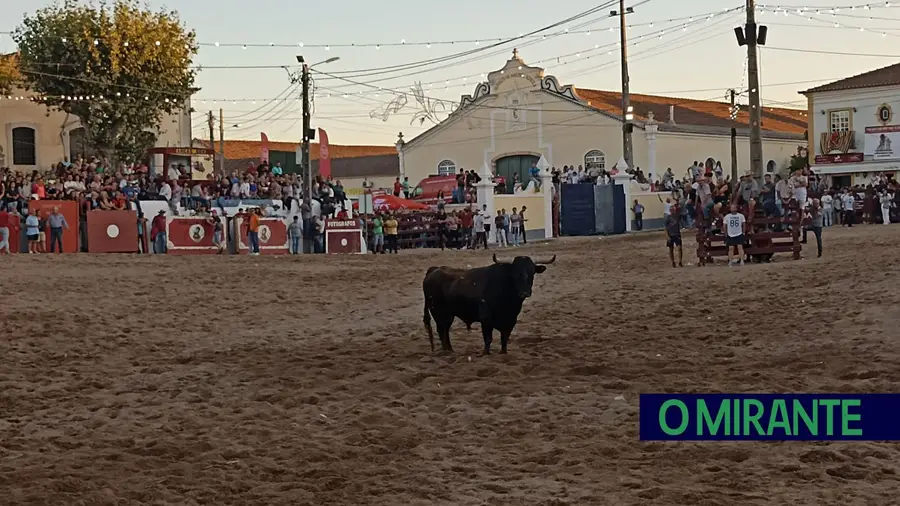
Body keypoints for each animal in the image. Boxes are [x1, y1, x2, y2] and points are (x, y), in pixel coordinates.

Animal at [422, 253, 556, 356]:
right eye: (515, 273)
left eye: (532, 272)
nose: (525, 292)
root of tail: (434, 270)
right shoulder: (486, 319)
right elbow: (488, 339)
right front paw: (485, 354)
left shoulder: (510, 320)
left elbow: (504, 339)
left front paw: (503, 353)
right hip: (438, 313)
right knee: (441, 331)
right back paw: (446, 352)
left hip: (448, 315)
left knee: (445, 331)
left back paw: (450, 350)